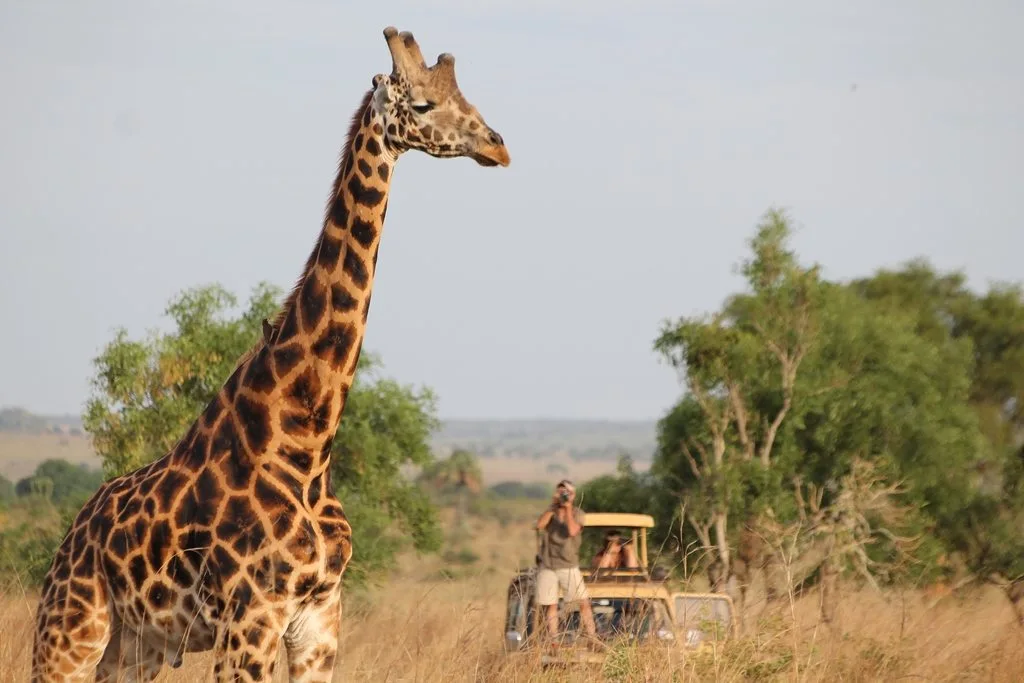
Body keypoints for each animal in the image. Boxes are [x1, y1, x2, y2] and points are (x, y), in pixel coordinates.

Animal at [29, 26, 509, 683]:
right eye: (423, 103)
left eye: (466, 96)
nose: (497, 146)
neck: (306, 446)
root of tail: (71, 535)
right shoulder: (250, 618)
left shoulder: (320, 619)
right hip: (70, 634)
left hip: (135, 646)